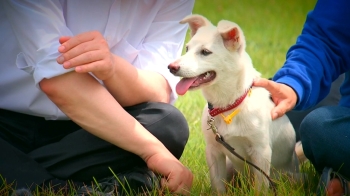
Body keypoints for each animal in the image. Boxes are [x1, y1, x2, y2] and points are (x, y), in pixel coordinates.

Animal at [169, 14, 298, 193]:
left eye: (205, 52)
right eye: (187, 49)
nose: (171, 67)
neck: (228, 106)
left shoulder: (261, 152)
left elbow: (261, 188)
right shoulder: (214, 151)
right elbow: (218, 186)